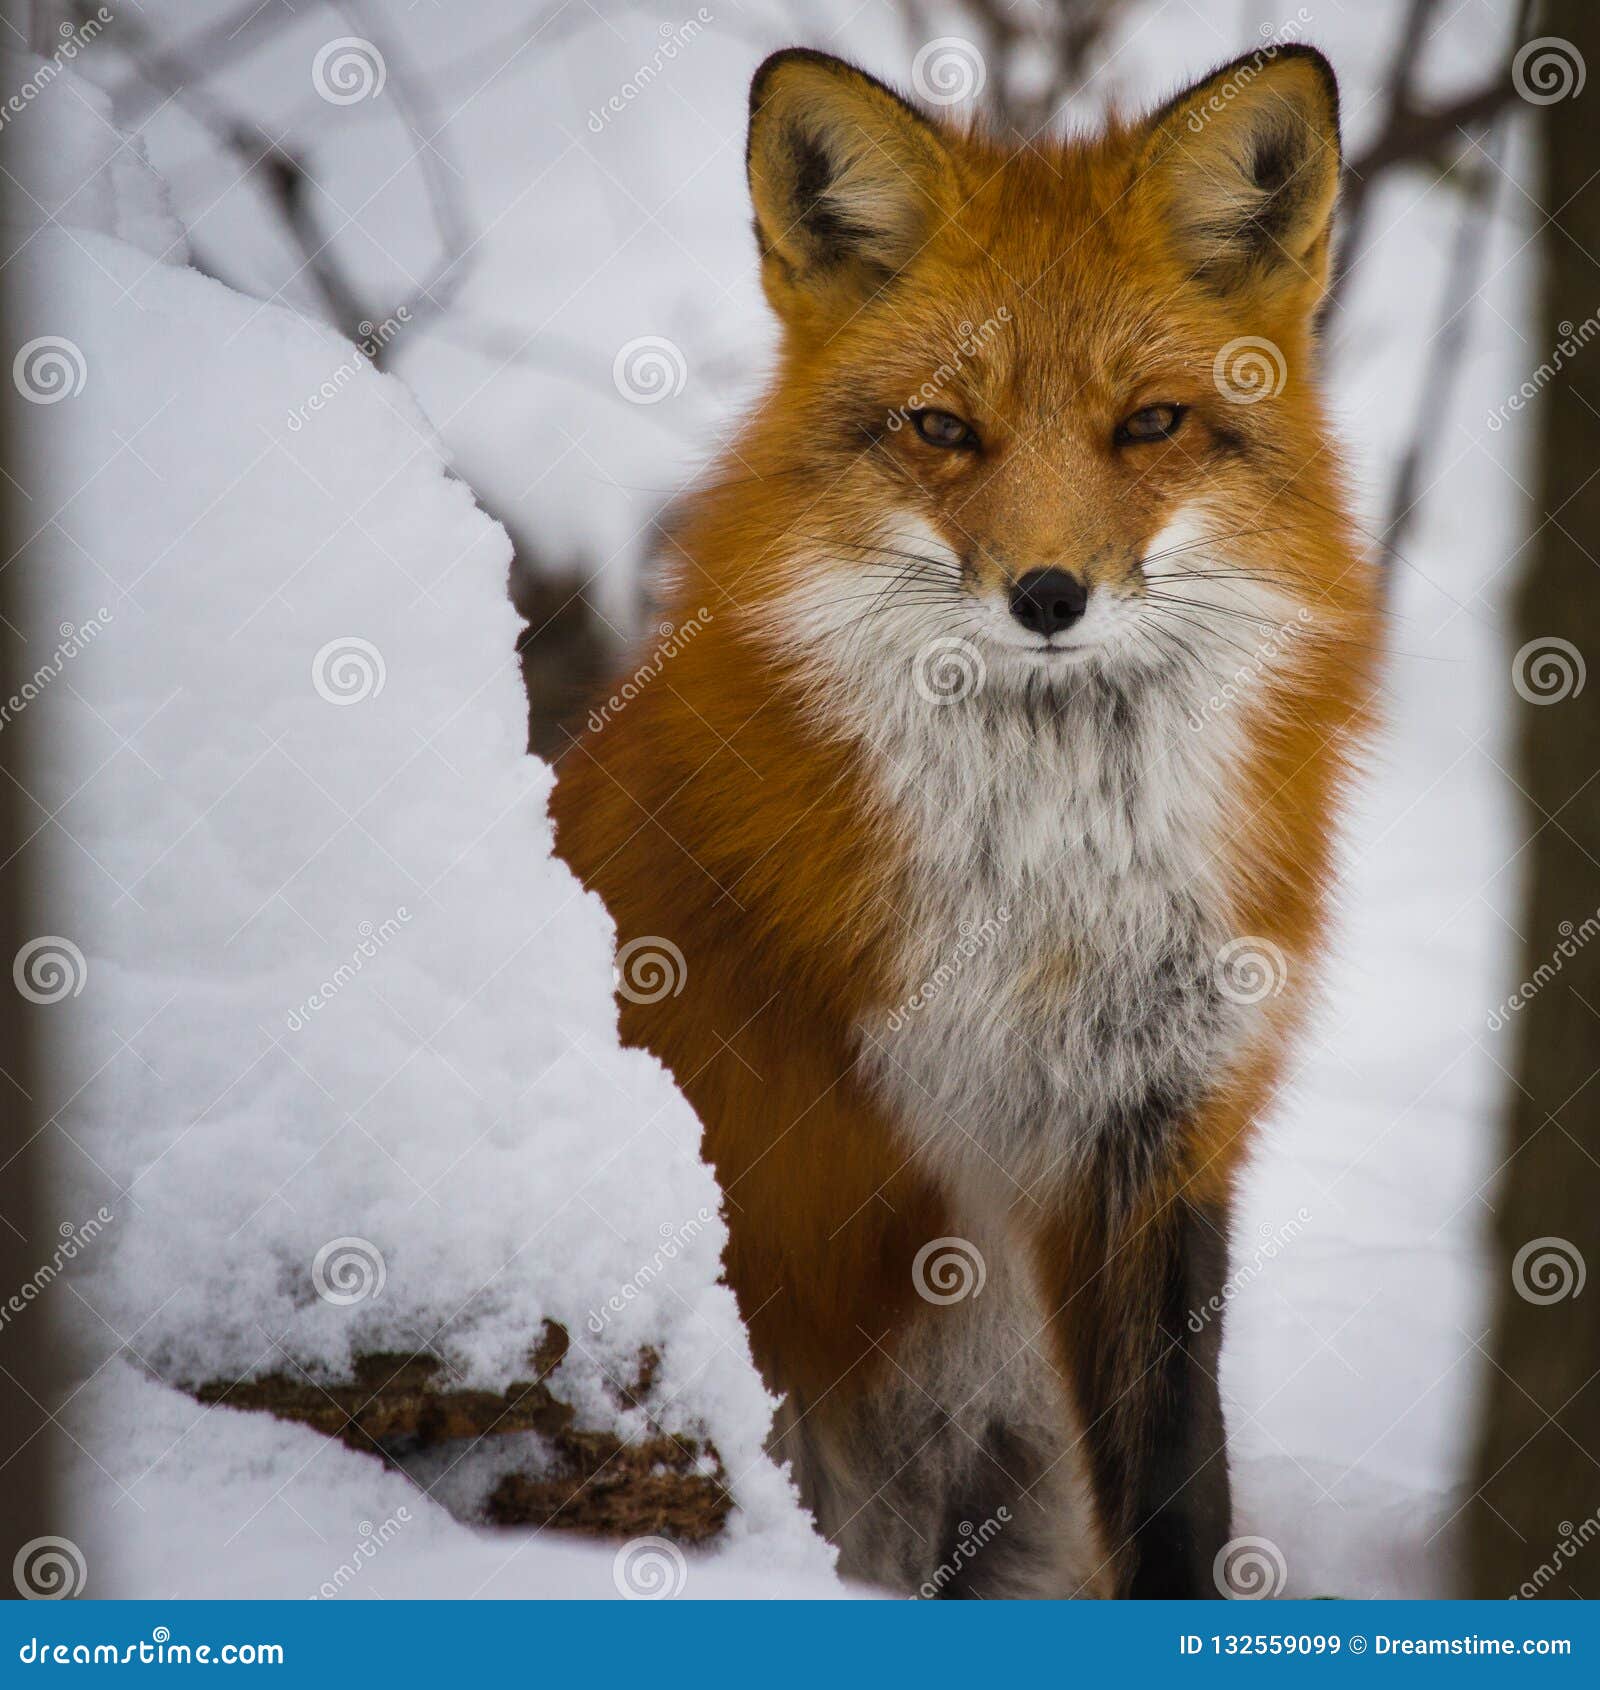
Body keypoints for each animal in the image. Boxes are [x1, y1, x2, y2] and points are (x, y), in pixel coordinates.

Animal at [551, 43, 1379, 1598]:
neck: (1047, 895)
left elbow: (1173, 1494)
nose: (1048, 594)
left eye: (1149, 422)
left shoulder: (1149, 1131)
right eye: (943, 426)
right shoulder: (828, 1169)